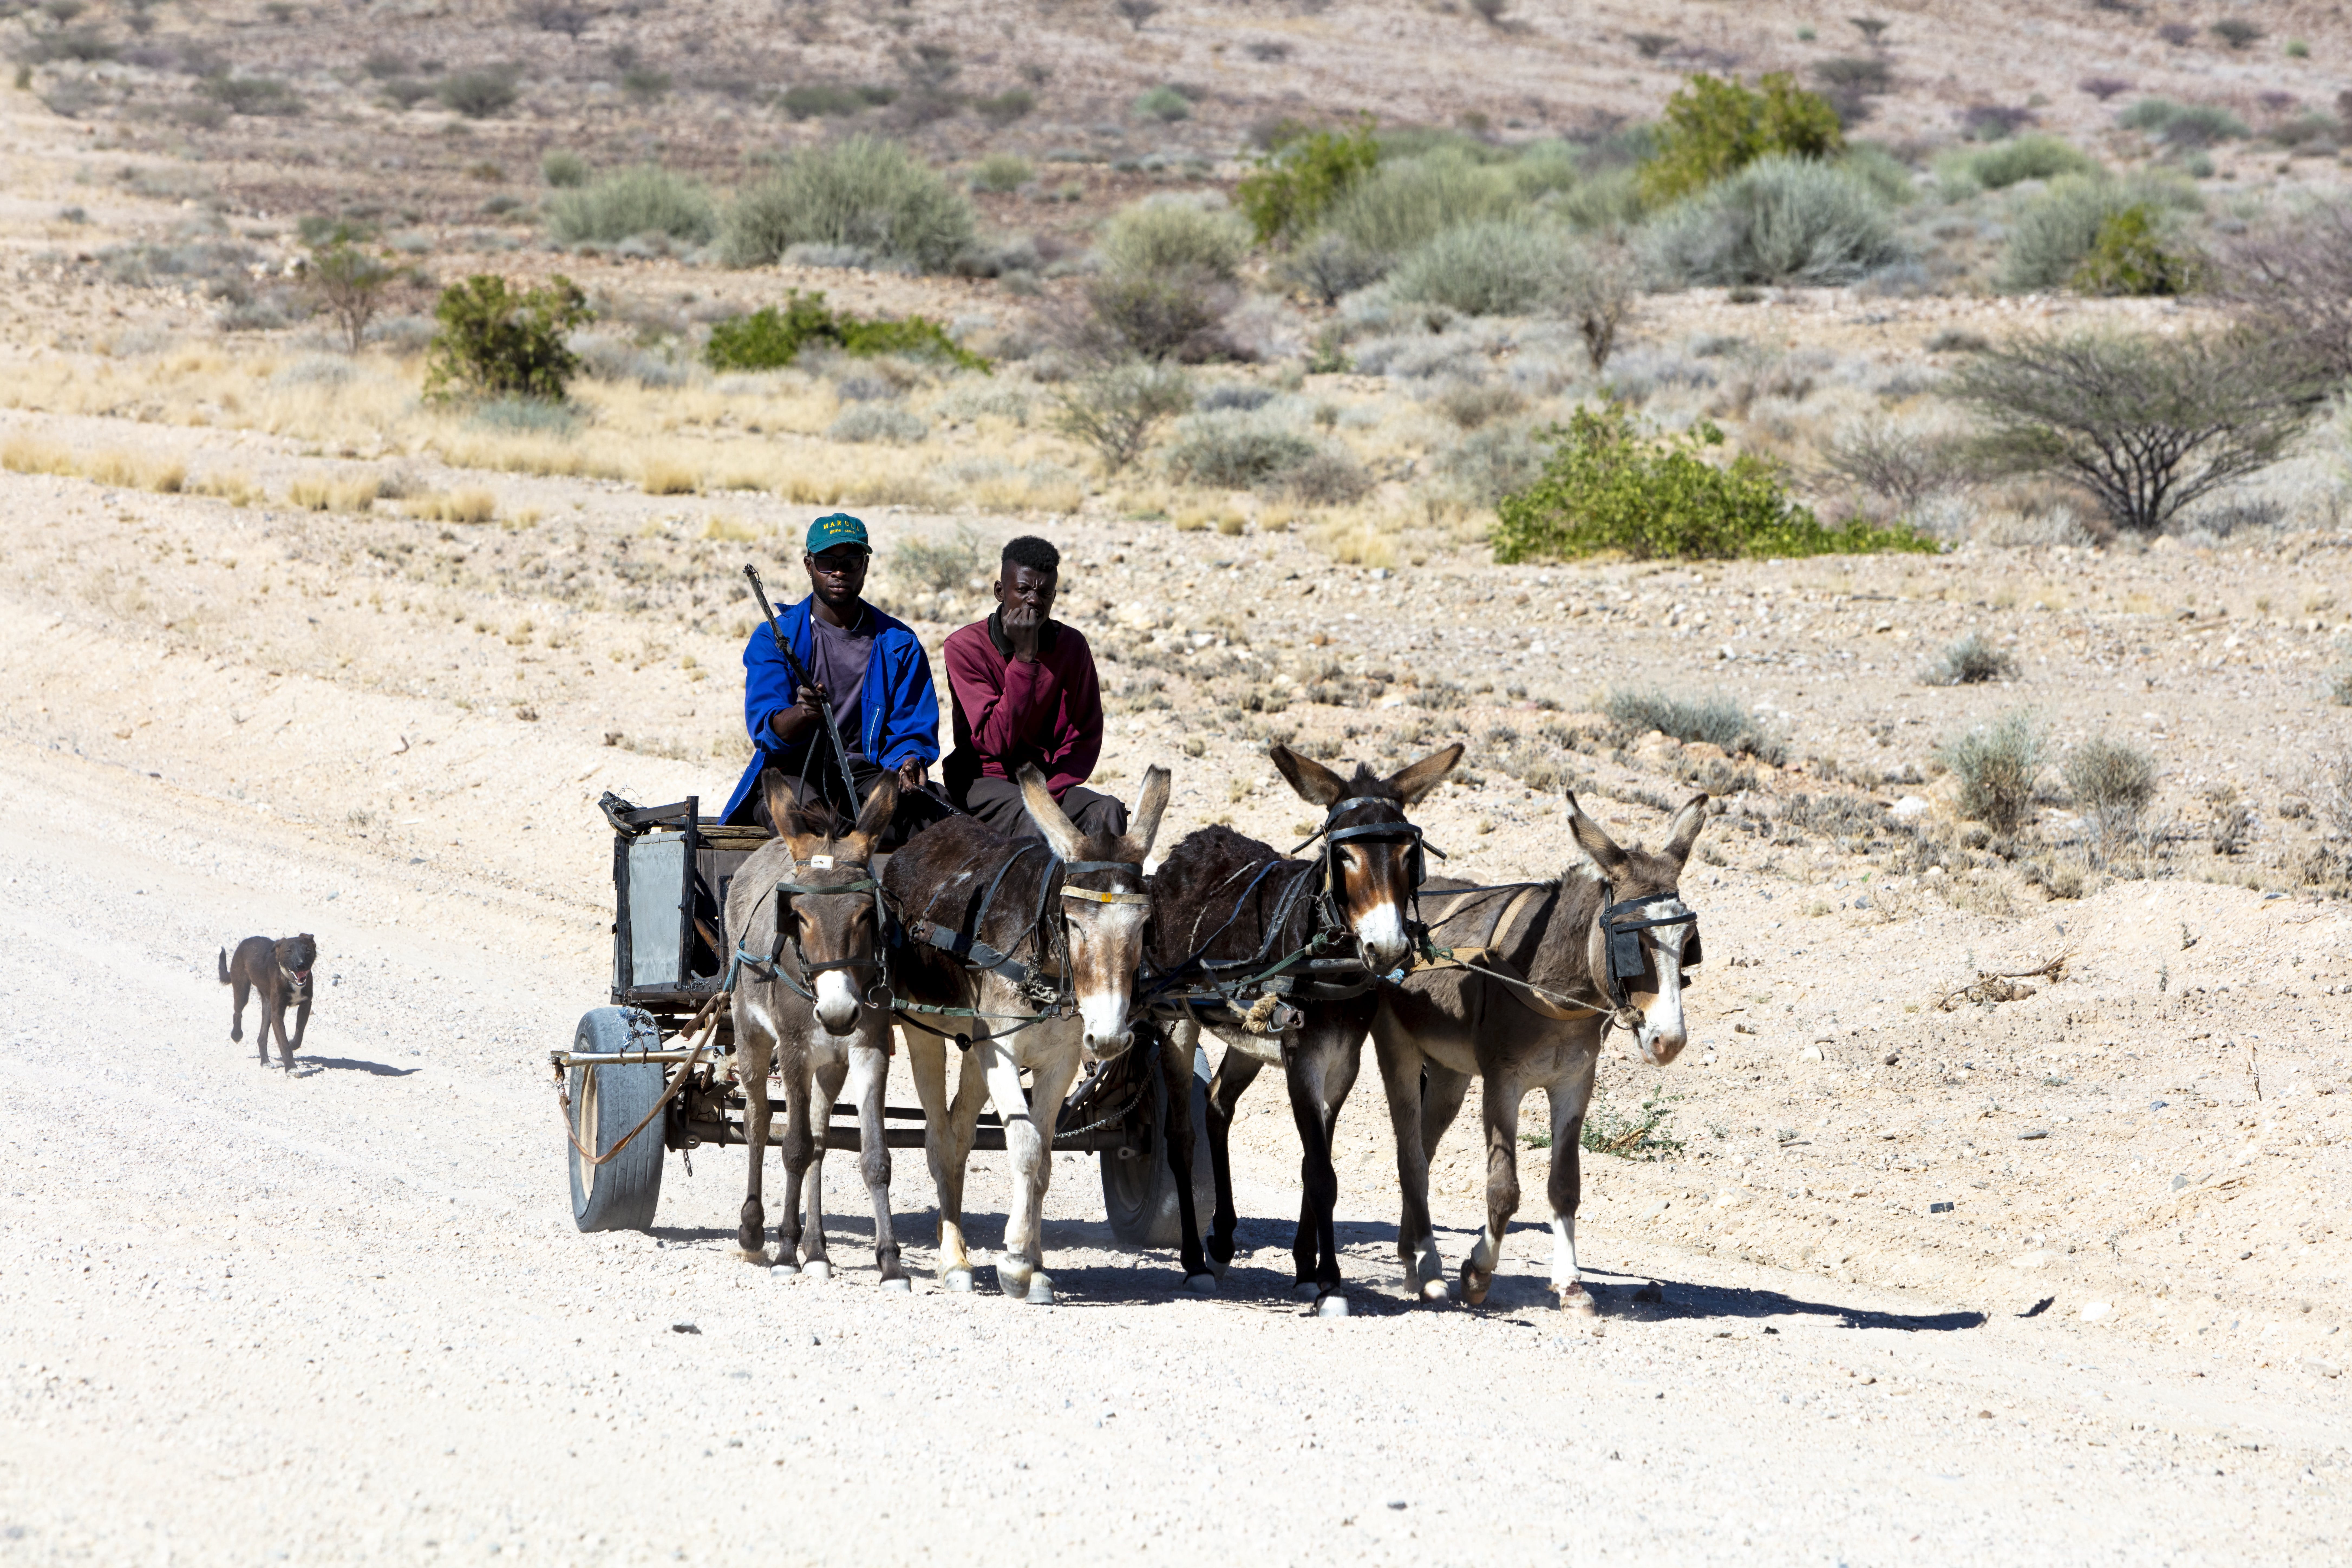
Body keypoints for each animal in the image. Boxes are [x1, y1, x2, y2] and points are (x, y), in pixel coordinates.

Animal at [725, 771, 903, 1285]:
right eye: (799, 917)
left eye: (866, 914)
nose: (839, 1012)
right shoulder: (794, 1050)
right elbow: (794, 1148)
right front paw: (785, 1253)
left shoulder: (868, 1050)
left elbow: (873, 1156)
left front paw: (891, 1262)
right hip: (750, 1034)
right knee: (760, 1122)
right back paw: (754, 1232)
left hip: (830, 1064)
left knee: (822, 1139)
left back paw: (818, 1249)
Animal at [884, 763, 1170, 1304]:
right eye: (1074, 922)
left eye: (1144, 924)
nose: (1109, 1040)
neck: (1047, 968)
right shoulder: (1001, 1050)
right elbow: (1025, 1147)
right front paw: (1015, 1261)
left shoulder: (1057, 1062)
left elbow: (1044, 1163)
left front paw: (1035, 1264)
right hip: (925, 1031)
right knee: (939, 1138)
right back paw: (953, 1260)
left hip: (974, 1045)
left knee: (959, 1132)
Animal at [1146, 742, 1461, 1315]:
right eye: (1344, 856)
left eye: (1410, 856)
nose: (1387, 949)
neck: (1327, 954)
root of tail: (1191, 842)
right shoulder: (1301, 1060)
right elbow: (1320, 1173)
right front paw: (1330, 1283)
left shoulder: (1341, 1064)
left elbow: (1315, 1163)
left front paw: (1306, 1270)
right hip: (1175, 1017)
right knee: (1180, 1134)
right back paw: (1195, 1262)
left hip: (1248, 1034)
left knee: (1218, 1105)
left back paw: (1221, 1242)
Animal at [1369, 789, 1707, 1313]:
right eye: (1631, 943)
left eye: (1688, 943)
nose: (1668, 1041)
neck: (1553, 985)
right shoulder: (1502, 1084)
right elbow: (1504, 1190)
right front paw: (1478, 1273)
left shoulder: (1573, 1084)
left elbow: (1565, 1186)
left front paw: (1570, 1282)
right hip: (1399, 1050)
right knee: (1411, 1158)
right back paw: (1428, 1264)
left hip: (1448, 1073)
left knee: (1424, 1148)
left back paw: (1412, 1257)